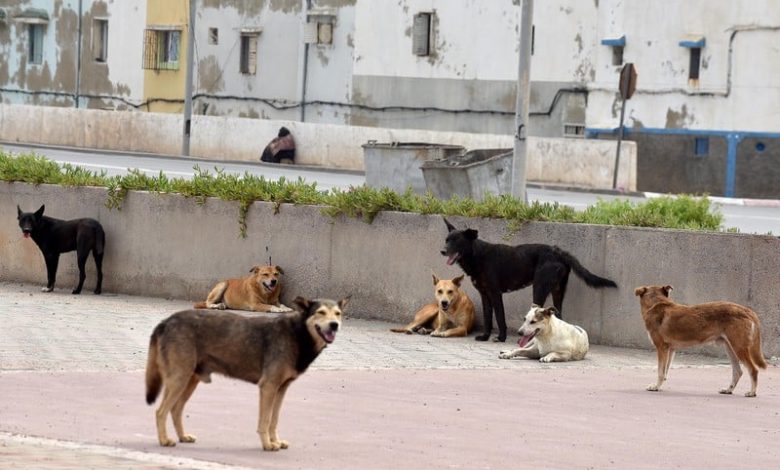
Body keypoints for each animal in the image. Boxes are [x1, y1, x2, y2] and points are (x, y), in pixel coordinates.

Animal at [148, 296, 348, 450]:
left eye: (338, 314)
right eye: (320, 312)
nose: (334, 325)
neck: (298, 334)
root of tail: (166, 321)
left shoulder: (281, 389)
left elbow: (274, 420)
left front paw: (275, 441)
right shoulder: (268, 387)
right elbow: (265, 421)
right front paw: (267, 444)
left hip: (189, 381)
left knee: (175, 410)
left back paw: (183, 436)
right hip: (179, 379)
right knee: (160, 411)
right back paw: (164, 440)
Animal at [438, 217, 616, 342]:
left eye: (457, 241)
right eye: (446, 240)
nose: (442, 251)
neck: (477, 255)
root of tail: (559, 252)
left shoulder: (495, 293)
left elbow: (500, 317)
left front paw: (501, 338)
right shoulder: (484, 295)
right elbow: (488, 317)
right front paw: (485, 336)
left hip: (539, 288)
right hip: (558, 291)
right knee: (558, 315)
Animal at [632, 284, 768, 398]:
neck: (656, 303)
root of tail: (747, 310)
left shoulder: (661, 348)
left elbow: (660, 372)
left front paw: (655, 387)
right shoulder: (670, 350)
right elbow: (665, 372)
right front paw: (659, 386)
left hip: (739, 348)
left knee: (753, 370)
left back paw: (752, 392)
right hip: (730, 349)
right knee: (738, 372)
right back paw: (728, 390)